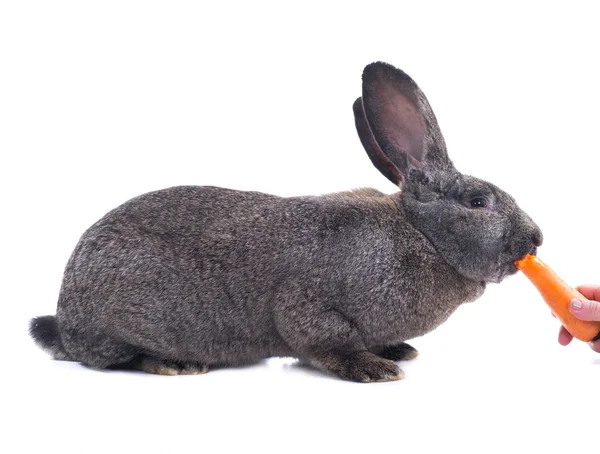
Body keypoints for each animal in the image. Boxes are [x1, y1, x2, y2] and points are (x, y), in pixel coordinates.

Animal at [29, 59, 544, 380]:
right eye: (479, 202)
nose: (536, 239)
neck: (421, 234)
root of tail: (66, 316)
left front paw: (397, 350)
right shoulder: (308, 304)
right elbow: (324, 341)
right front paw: (376, 369)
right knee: (112, 358)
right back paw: (173, 365)